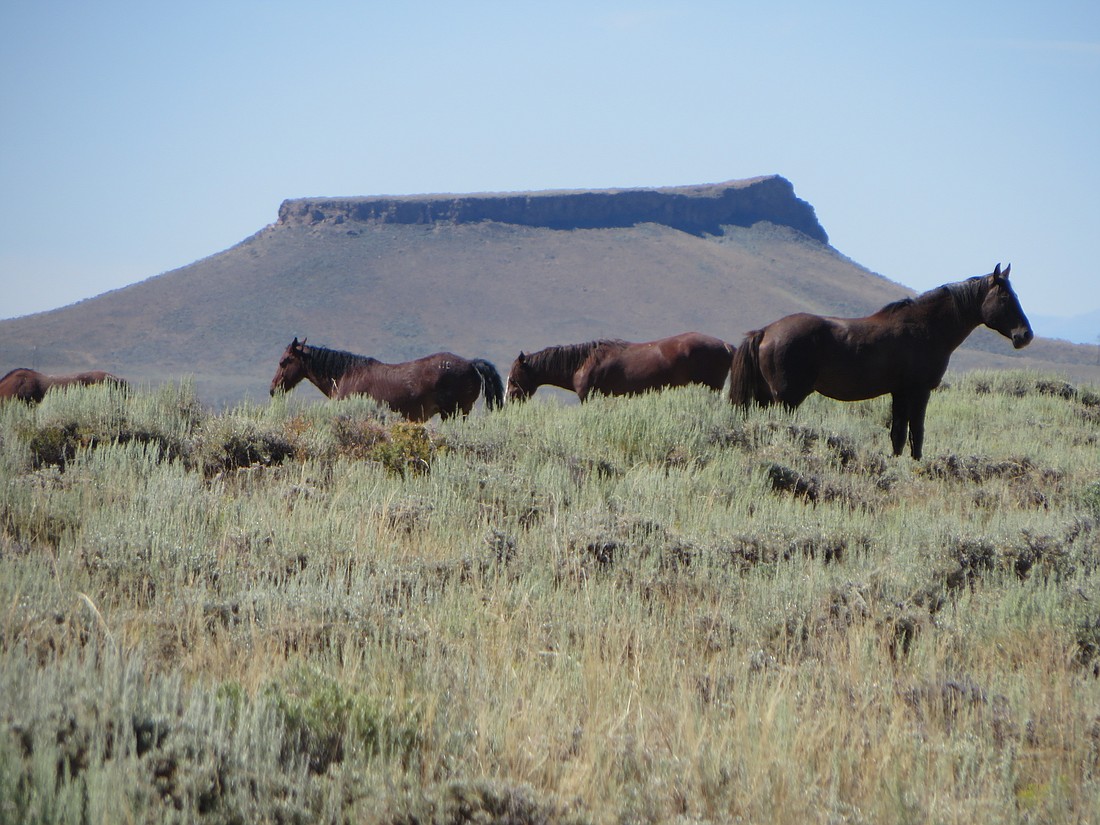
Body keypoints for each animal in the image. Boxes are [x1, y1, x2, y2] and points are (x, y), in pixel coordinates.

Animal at [730, 265, 1029, 459]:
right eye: (1005, 297)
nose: (1025, 335)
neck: (926, 327)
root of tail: (765, 331)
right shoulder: (918, 392)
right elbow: (916, 433)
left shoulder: (900, 393)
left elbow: (898, 434)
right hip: (787, 398)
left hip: (765, 397)